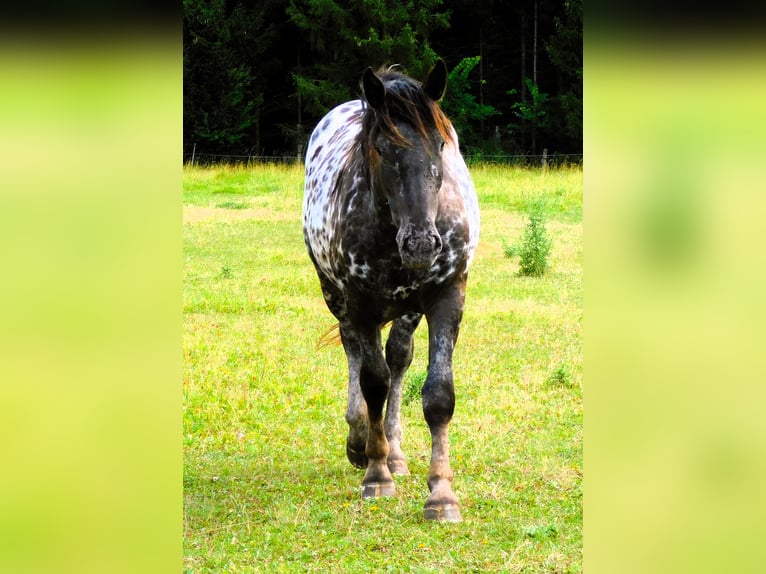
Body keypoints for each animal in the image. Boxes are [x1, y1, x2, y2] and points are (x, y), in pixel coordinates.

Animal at [304, 60, 480, 524]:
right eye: (382, 149)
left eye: (441, 144)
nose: (421, 243)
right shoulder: (360, 303)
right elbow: (372, 381)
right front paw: (377, 472)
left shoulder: (446, 298)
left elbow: (437, 395)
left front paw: (441, 494)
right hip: (336, 296)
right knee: (354, 352)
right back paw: (360, 441)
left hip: (407, 310)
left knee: (398, 358)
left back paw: (395, 450)